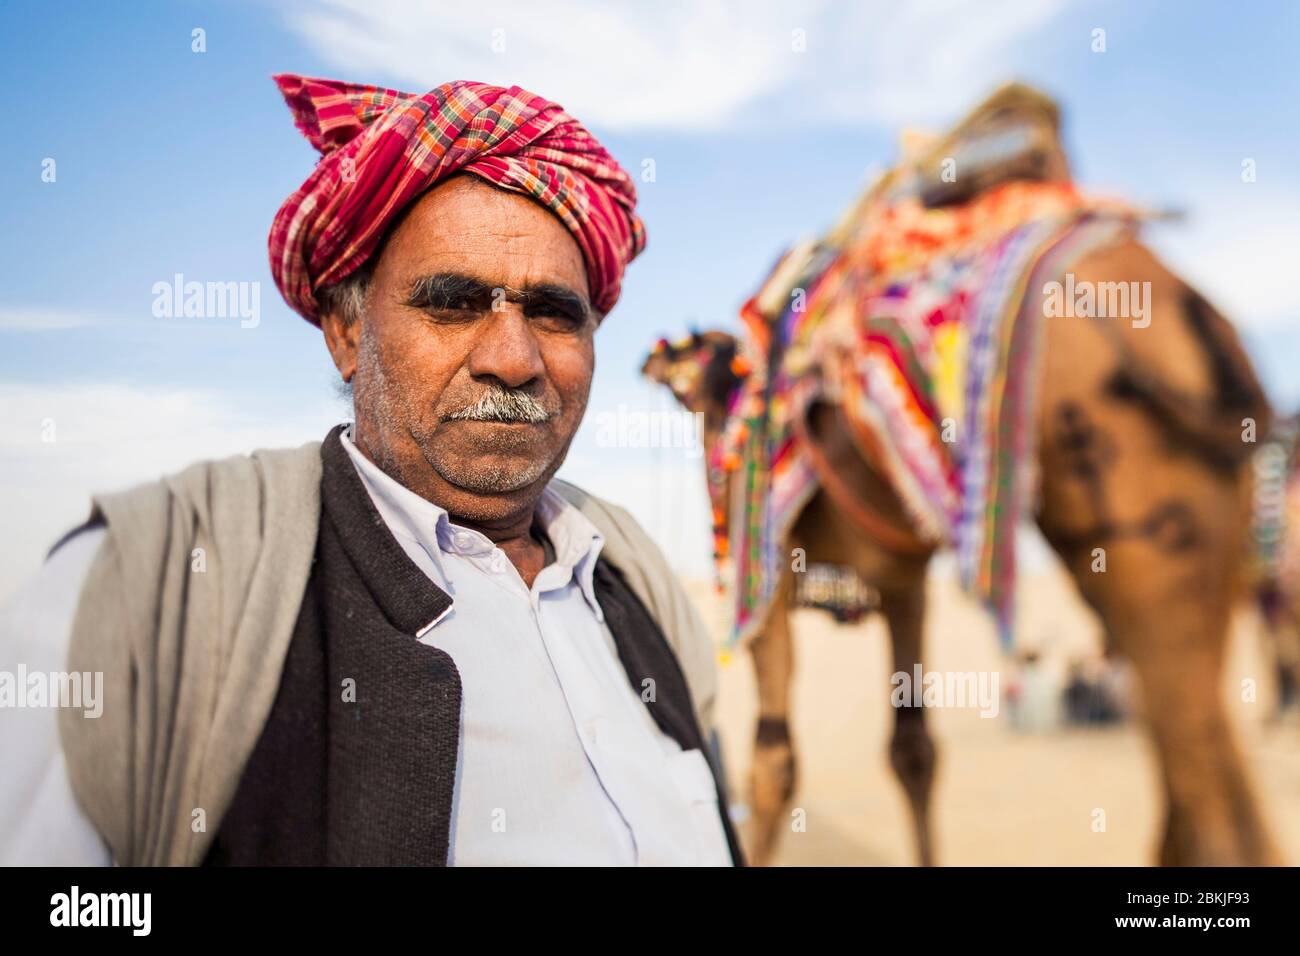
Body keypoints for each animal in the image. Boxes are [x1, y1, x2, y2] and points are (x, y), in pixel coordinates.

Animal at [641, 89, 1279, 868]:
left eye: (699, 380)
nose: (689, 399)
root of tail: (1193, 320)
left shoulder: (772, 569)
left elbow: (772, 763)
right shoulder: (903, 579)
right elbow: (914, 750)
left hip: (1140, 535)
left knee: (1203, 780)